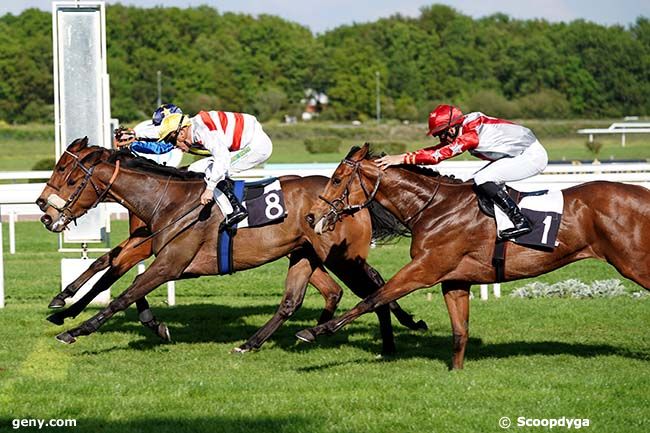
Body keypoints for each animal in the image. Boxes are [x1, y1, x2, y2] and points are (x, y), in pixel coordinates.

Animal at [38, 140, 426, 352]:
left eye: (69, 177)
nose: (44, 209)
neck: (169, 200)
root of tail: (356, 200)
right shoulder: (152, 249)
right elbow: (112, 271)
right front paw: (64, 306)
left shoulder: (169, 263)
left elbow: (122, 294)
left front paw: (74, 329)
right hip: (306, 254)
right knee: (310, 296)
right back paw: (267, 340)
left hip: (342, 258)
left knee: (374, 287)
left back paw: (386, 342)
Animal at [298, 144, 648, 368]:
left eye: (337, 179)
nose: (312, 216)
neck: (434, 208)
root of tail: (642, 194)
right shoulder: (454, 280)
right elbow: (459, 331)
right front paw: (456, 372)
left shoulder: (424, 269)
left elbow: (373, 298)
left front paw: (313, 332)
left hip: (634, 263)